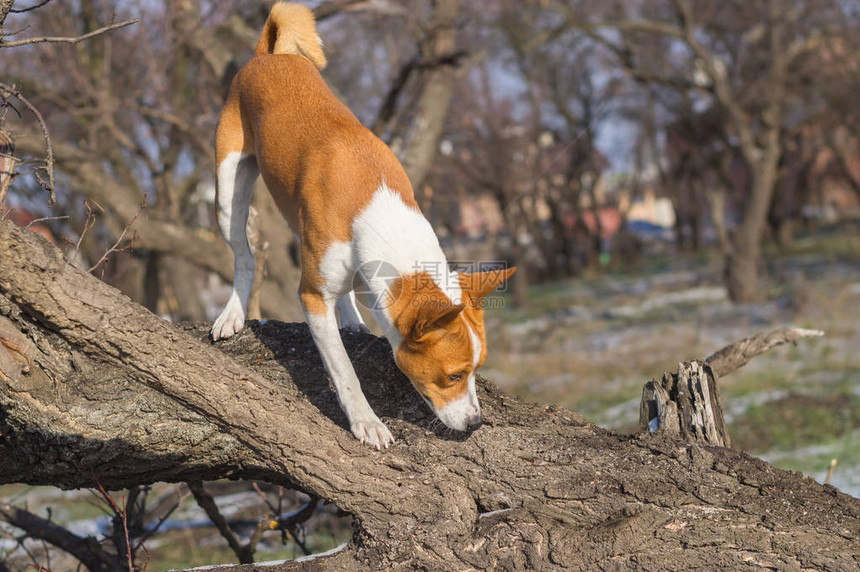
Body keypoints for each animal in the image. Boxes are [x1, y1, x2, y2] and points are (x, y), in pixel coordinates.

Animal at [211, 3, 512, 452]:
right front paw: (366, 422)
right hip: (227, 193)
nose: (476, 424)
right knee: (244, 257)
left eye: (477, 370)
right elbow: (344, 372)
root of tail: (269, 55)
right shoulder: (312, 297)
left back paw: (351, 317)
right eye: (454, 375)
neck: (374, 206)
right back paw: (231, 314)